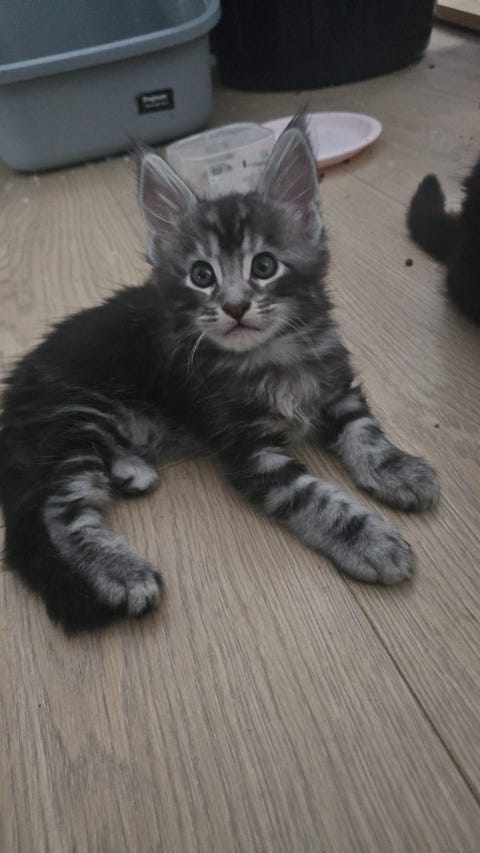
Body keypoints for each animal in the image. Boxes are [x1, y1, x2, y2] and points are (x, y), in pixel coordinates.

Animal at [0, 116, 439, 632]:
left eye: (264, 266)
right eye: (201, 275)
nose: (234, 306)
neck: (271, 354)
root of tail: (15, 385)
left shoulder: (336, 385)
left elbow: (365, 430)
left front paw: (397, 469)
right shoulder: (246, 446)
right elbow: (311, 496)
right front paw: (367, 538)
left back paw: (130, 471)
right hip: (80, 413)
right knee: (55, 509)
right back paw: (118, 573)